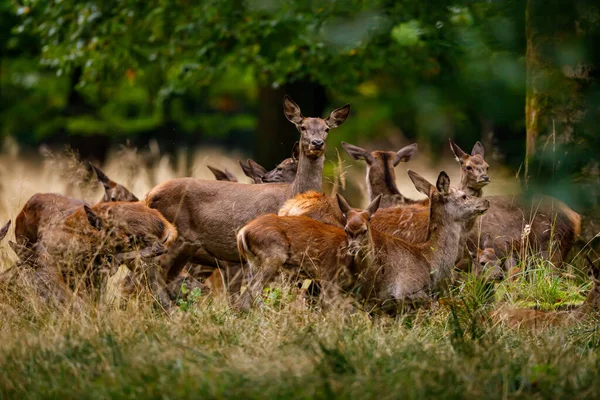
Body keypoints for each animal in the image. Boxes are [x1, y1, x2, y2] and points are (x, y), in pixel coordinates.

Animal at [145, 96, 350, 306]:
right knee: (154, 275)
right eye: (302, 126)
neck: (291, 194)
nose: (317, 143)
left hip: (187, 247)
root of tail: (149, 195)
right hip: (174, 239)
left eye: (326, 128)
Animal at [233, 194, 380, 312]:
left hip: (256, 263)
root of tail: (242, 233)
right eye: (346, 229)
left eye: (365, 229)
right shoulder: (328, 276)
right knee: (248, 296)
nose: (353, 249)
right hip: (274, 256)